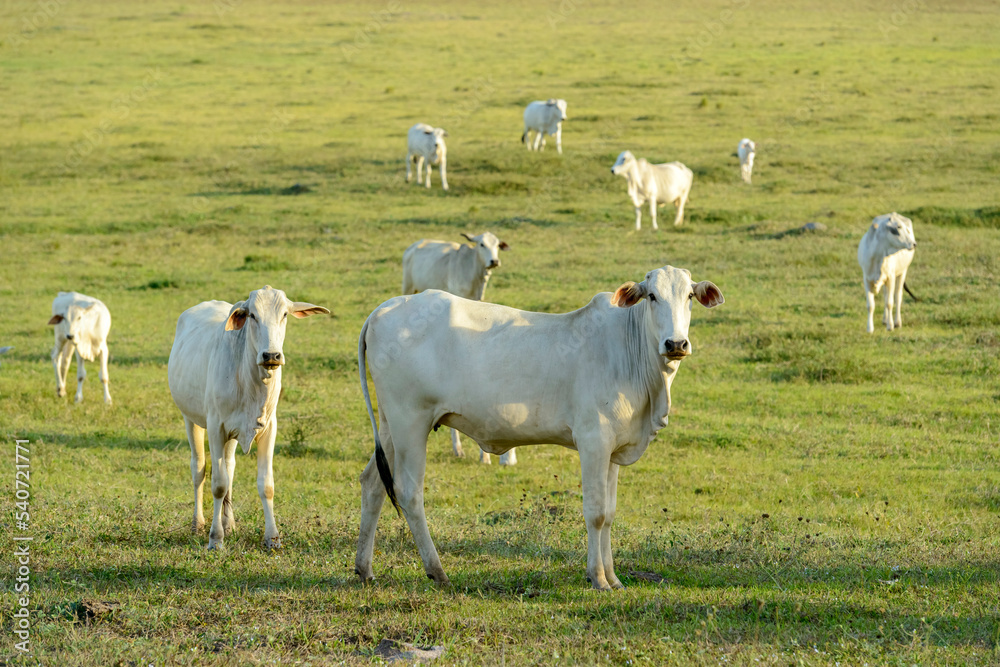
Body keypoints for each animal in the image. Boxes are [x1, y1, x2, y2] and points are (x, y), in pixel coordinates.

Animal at [168, 284, 328, 552]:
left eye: (285, 314)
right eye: (252, 315)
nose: (271, 355)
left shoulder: (268, 428)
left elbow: (266, 485)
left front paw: (272, 538)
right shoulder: (216, 427)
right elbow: (218, 483)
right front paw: (215, 538)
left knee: (229, 466)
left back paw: (229, 523)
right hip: (191, 419)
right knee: (199, 468)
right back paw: (197, 523)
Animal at [356, 264, 724, 588]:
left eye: (689, 296)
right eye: (652, 296)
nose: (676, 344)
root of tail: (383, 309)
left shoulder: (614, 449)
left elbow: (609, 513)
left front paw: (614, 578)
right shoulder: (593, 440)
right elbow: (596, 512)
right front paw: (598, 578)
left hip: (390, 426)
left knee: (374, 484)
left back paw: (364, 569)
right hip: (410, 422)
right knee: (409, 492)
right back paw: (437, 571)